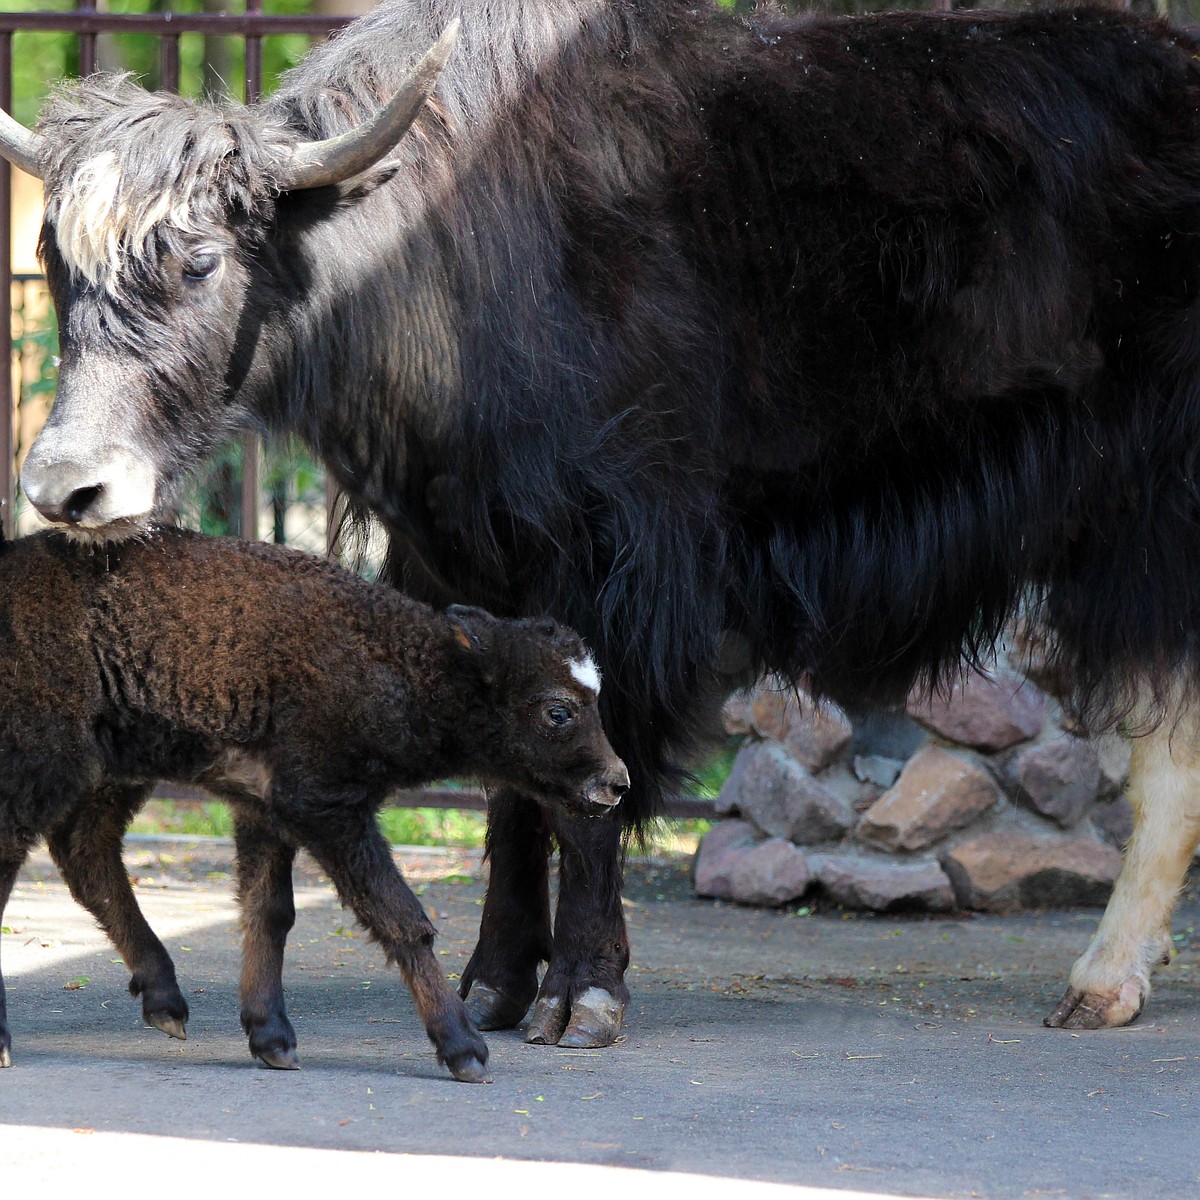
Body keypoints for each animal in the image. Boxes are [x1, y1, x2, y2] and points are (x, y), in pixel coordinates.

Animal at [2, 528, 628, 1080]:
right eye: (558, 710)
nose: (616, 782)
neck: (395, 661)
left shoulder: (264, 804)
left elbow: (268, 910)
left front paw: (271, 1037)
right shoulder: (327, 808)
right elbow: (401, 917)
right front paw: (464, 1049)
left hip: (110, 769)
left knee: (86, 852)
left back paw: (165, 1000)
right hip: (44, 763)